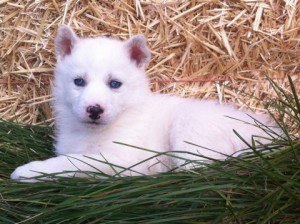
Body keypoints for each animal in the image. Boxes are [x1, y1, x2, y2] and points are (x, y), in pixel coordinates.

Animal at [11, 25, 278, 181]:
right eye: (79, 81)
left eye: (115, 84)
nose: (94, 110)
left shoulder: (120, 159)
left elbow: (73, 162)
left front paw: (29, 170)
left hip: (190, 130)